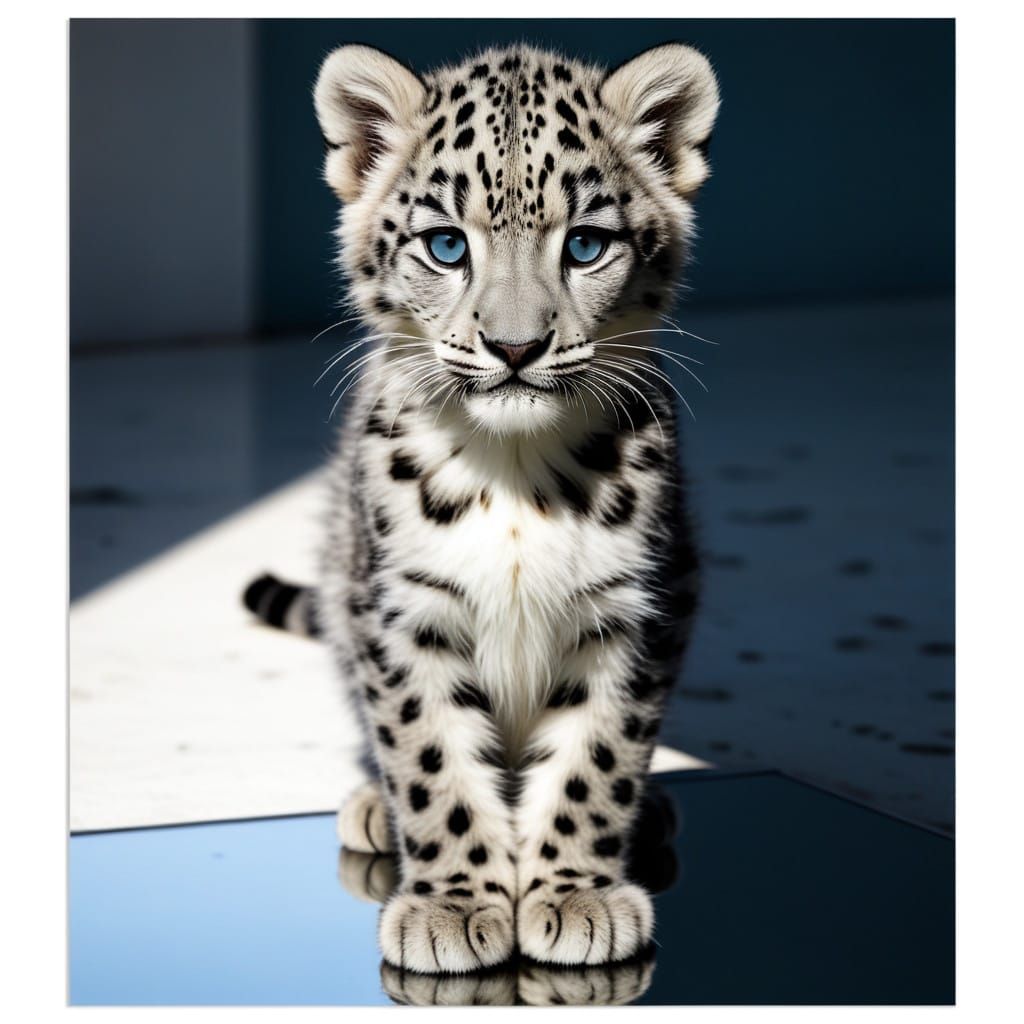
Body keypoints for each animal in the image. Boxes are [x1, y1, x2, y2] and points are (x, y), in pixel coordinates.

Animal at [244, 40, 719, 974]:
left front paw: (575, 894)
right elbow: (431, 758)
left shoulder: (637, 610)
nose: (515, 346)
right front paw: (455, 906)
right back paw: (371, 807)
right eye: (444, 245)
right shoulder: (401, 614)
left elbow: (597, 756)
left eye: (586, 244)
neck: (517, 477)